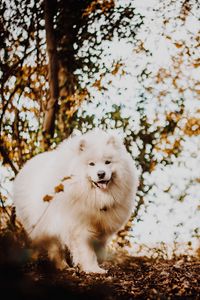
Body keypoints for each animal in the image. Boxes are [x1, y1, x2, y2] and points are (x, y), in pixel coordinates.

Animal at [13, 129, 138, 272]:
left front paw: (98, 263)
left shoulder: (102, 228)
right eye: (91, 164)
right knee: (55, 248)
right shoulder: (80, 227)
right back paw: (62, 266)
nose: (101, 173)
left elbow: (99, 248)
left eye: (107, 162)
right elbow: (88, 251)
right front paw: (93, 269)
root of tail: (25, 166)